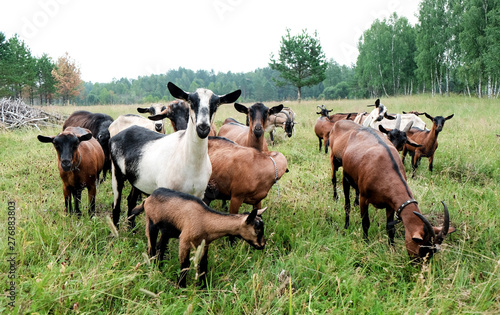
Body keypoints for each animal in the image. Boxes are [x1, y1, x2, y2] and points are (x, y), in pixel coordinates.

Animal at [110, 82, 242, 228]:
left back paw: (131, 229)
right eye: (191, 101)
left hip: (136, 179)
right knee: (116, 205)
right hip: (116, 173)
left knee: (131, 201)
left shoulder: (199, 195)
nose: (203, 128)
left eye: (216, 104)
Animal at [131, 188, 268, 288]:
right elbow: (185, 264)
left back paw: (160, 267)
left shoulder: (204, 243)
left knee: (161, 247)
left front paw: (203, 286)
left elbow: (203, 263)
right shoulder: (184, 241)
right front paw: (182, 286)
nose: (262, 245)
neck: (205, 219)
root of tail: (148, 198)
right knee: (152, 247)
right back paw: (154, 268)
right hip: (151, 223)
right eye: (257, 229)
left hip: (167, 231)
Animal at [332, 119, 454, 260]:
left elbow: (390, 228)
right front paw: (365, 242)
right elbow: (365, 222)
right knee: (347, 204)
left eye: (432, 252)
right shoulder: (364, 198)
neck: (386, 169)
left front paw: (392, 248)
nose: (417, 263)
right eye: (422, 249)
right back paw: (346, 225)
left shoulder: (391, 204)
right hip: (345, 176)